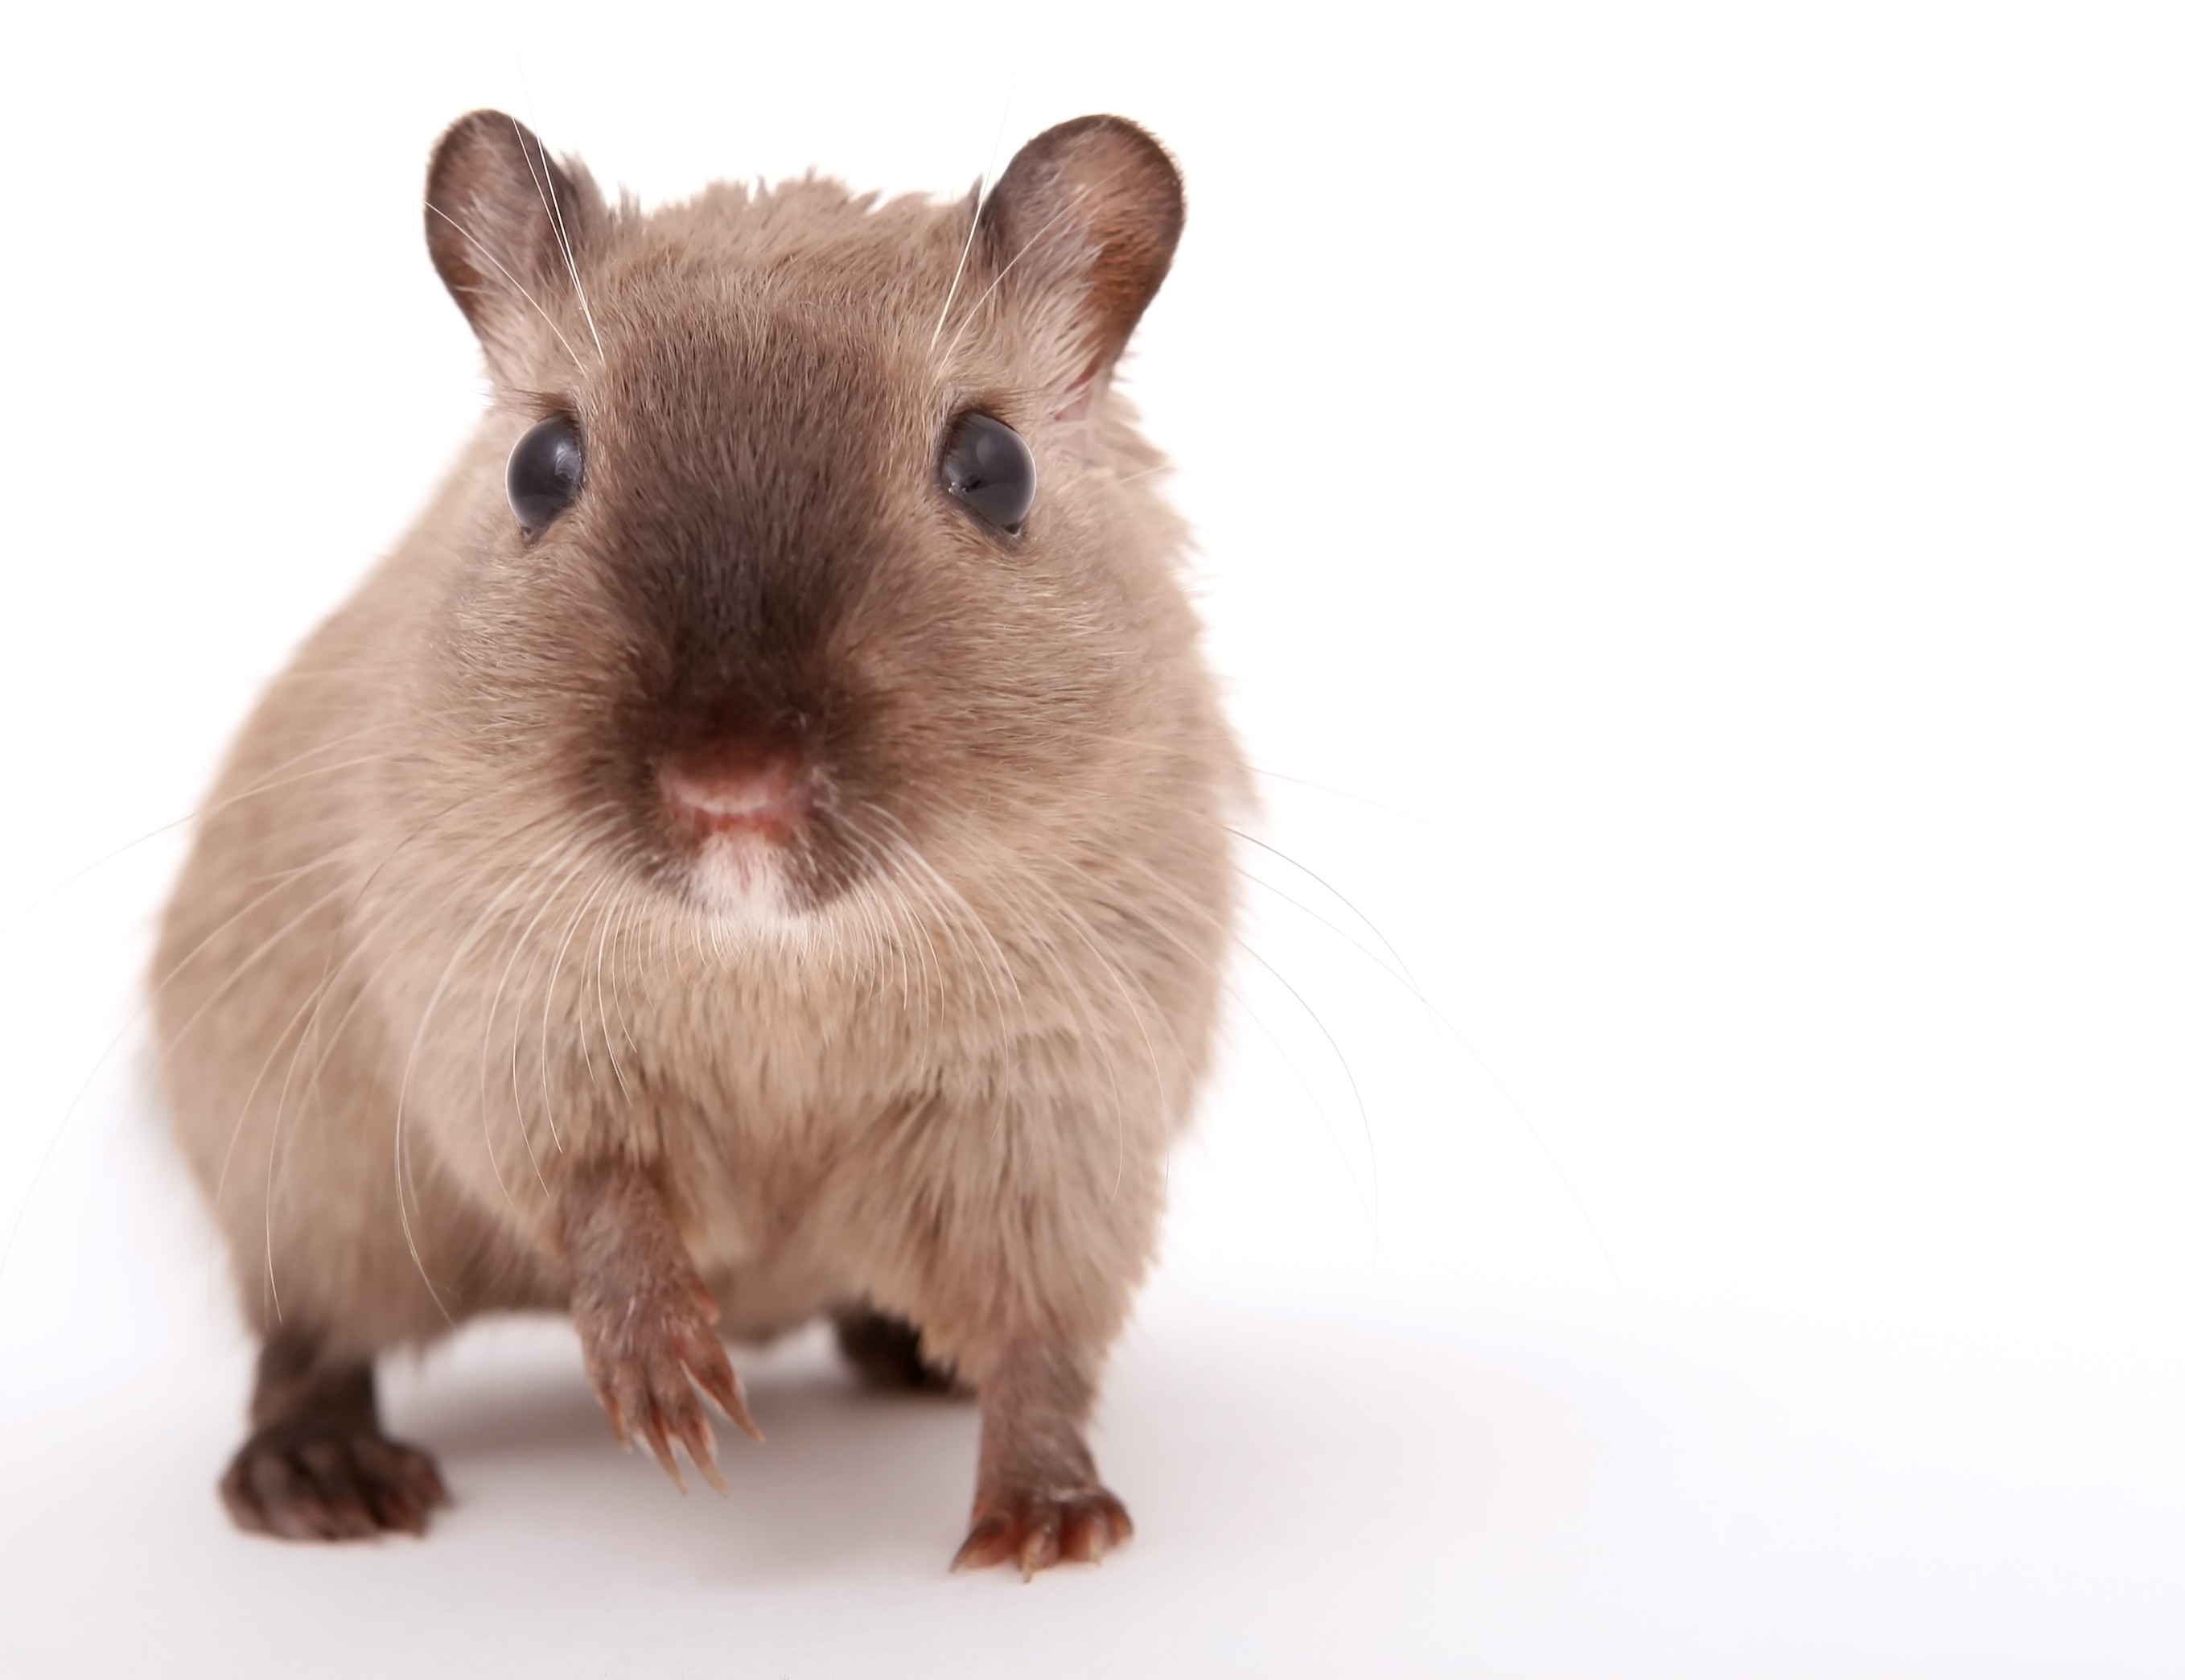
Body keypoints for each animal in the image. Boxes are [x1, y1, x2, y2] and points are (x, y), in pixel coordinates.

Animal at [150, 110, 1241, 1576]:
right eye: (540, 468)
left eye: (994, 469)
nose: (733, 783)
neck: (775, 949)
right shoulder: (502, 1022)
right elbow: (605, 1196)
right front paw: (675, 1404)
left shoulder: (1059, 1093)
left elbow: (1038, 1330)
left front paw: (1049, 1527)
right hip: (306, 1188)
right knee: (306, 1339)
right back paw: (325, 1480)